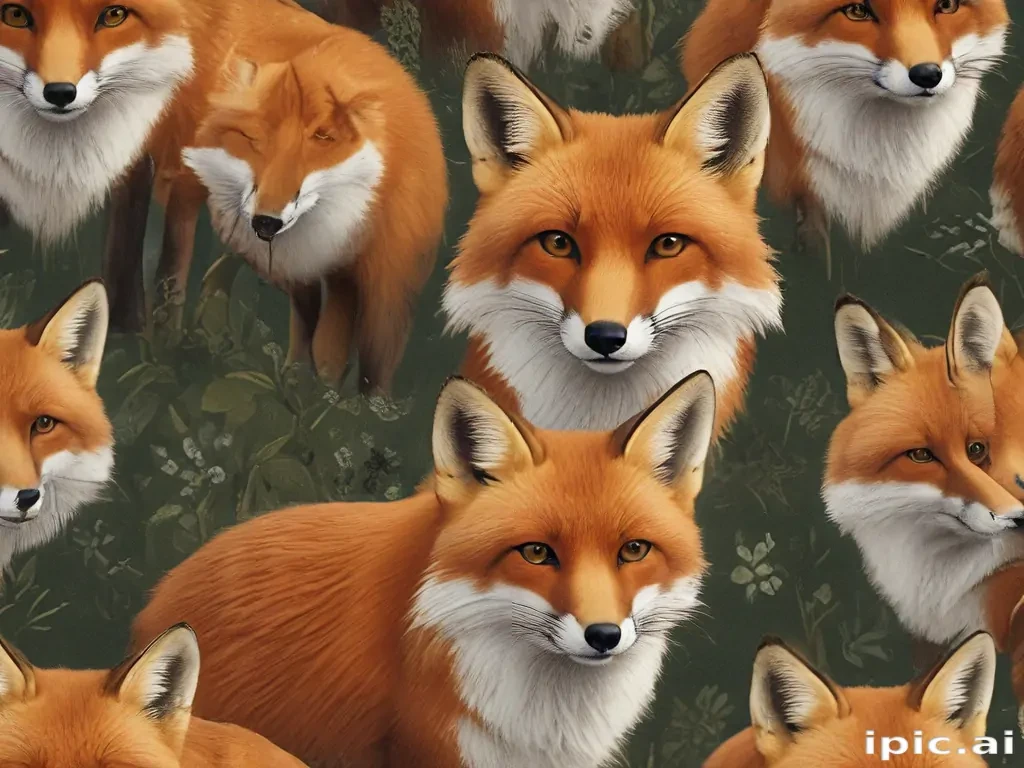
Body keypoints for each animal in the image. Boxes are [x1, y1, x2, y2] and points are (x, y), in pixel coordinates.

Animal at [181, 29, 447, 393]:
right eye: (254, 141)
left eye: (321, 141)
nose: (266, 222)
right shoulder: (308, 270)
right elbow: (309, 331)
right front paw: (302, 380)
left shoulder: (377, 286)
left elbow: (354, 360)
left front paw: (340, 396)